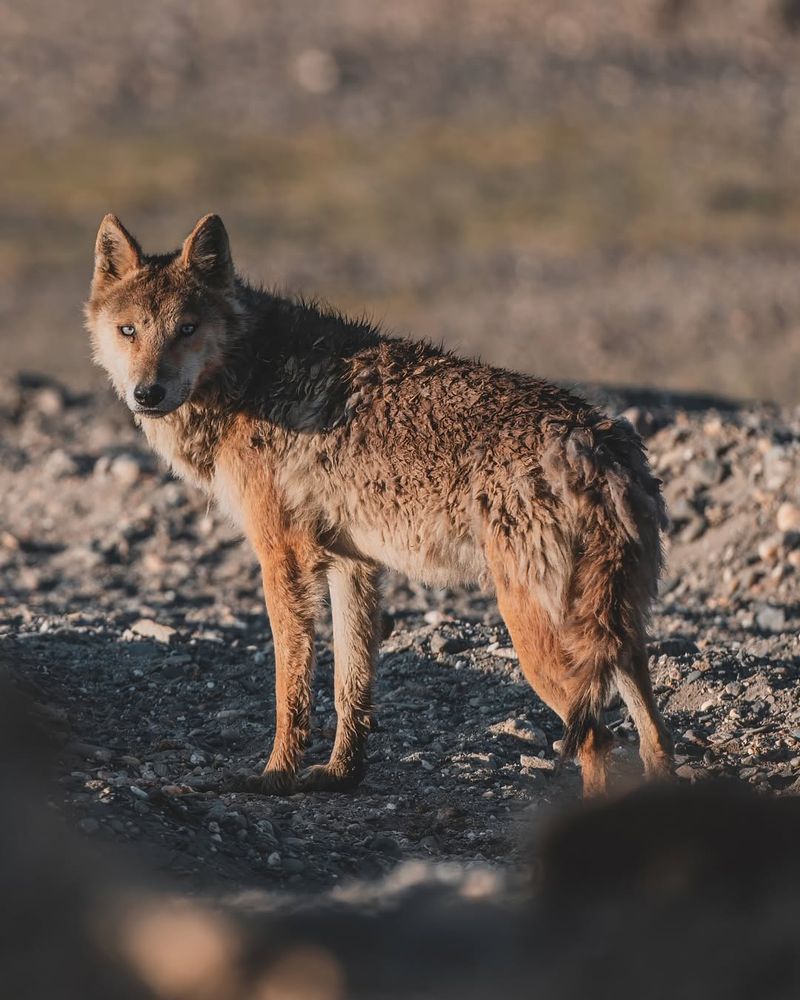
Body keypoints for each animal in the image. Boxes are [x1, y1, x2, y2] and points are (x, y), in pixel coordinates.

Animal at [86, 213, 676, 796]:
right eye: (129, 331)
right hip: (617, 635)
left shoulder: (284, 559)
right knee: (654, 736)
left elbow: (290, 686)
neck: (251, 372)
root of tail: (593, 444)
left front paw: (277, 775)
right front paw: (341, 774)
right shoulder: (355, 564)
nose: (147, 393)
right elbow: (351, 683)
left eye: (187, 329)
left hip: (541, 642)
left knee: (597, 741)